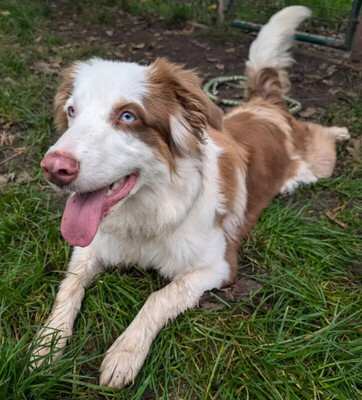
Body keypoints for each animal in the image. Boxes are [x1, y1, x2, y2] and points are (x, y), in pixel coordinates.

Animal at [32, 5, 350, 388]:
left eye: (128, 116)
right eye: (71, 111)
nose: (54, 168)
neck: (147, 213)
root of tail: (265, 106)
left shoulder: (219, 266)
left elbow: (159, 296)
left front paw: (124, 353)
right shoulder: (90, 248)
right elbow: (69, 287)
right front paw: (47, 343)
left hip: (318, 164)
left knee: (321, 134)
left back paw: (341, 131)